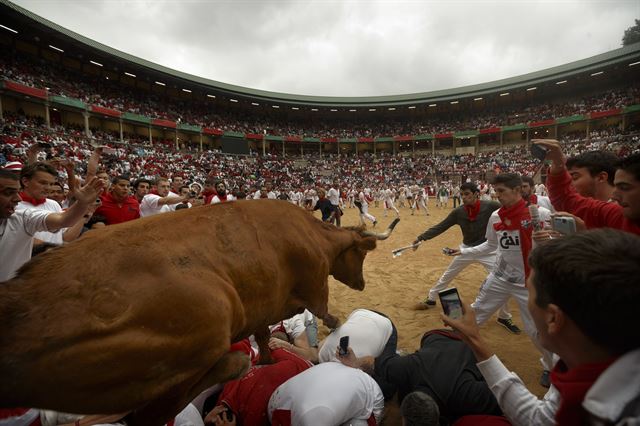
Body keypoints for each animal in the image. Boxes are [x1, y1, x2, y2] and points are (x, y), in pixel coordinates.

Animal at [0, 201, 398, 426]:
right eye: (362, 253)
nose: (361, 283)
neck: (311, 234)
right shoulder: (314, 286)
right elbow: (329, 316)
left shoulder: (264, 307)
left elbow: (264, 336)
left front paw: (268, 359)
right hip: (204, 325)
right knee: (155, 411)